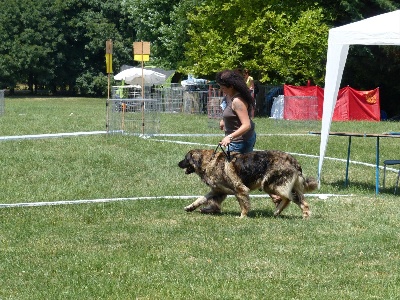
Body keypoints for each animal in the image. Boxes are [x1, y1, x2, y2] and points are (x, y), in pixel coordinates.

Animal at [179, 149, 318, 218]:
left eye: (185, 158)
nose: (178, 163)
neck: (209, 161)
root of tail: (293, 160)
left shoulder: (240, 189)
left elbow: (244, 205)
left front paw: (242, 217)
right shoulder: (218, 190)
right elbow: (201, 199)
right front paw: (190, 207)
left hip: (272, 185)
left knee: (295, 200)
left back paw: (305, 216)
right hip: (271, 186)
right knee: (290, 199)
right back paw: (277, 211)